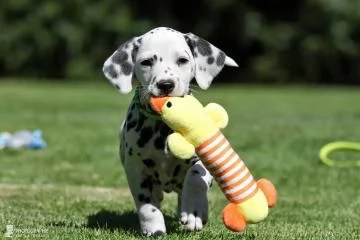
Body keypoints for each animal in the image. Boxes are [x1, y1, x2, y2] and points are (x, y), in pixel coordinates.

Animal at [102, 26, 236, 236]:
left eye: (182, 60)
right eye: (146, 62)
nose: (165, 84)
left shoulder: (204, 159)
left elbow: (195, 178)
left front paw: (194, 212)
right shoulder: (136, 169)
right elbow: (147, 204)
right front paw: (154, 229)